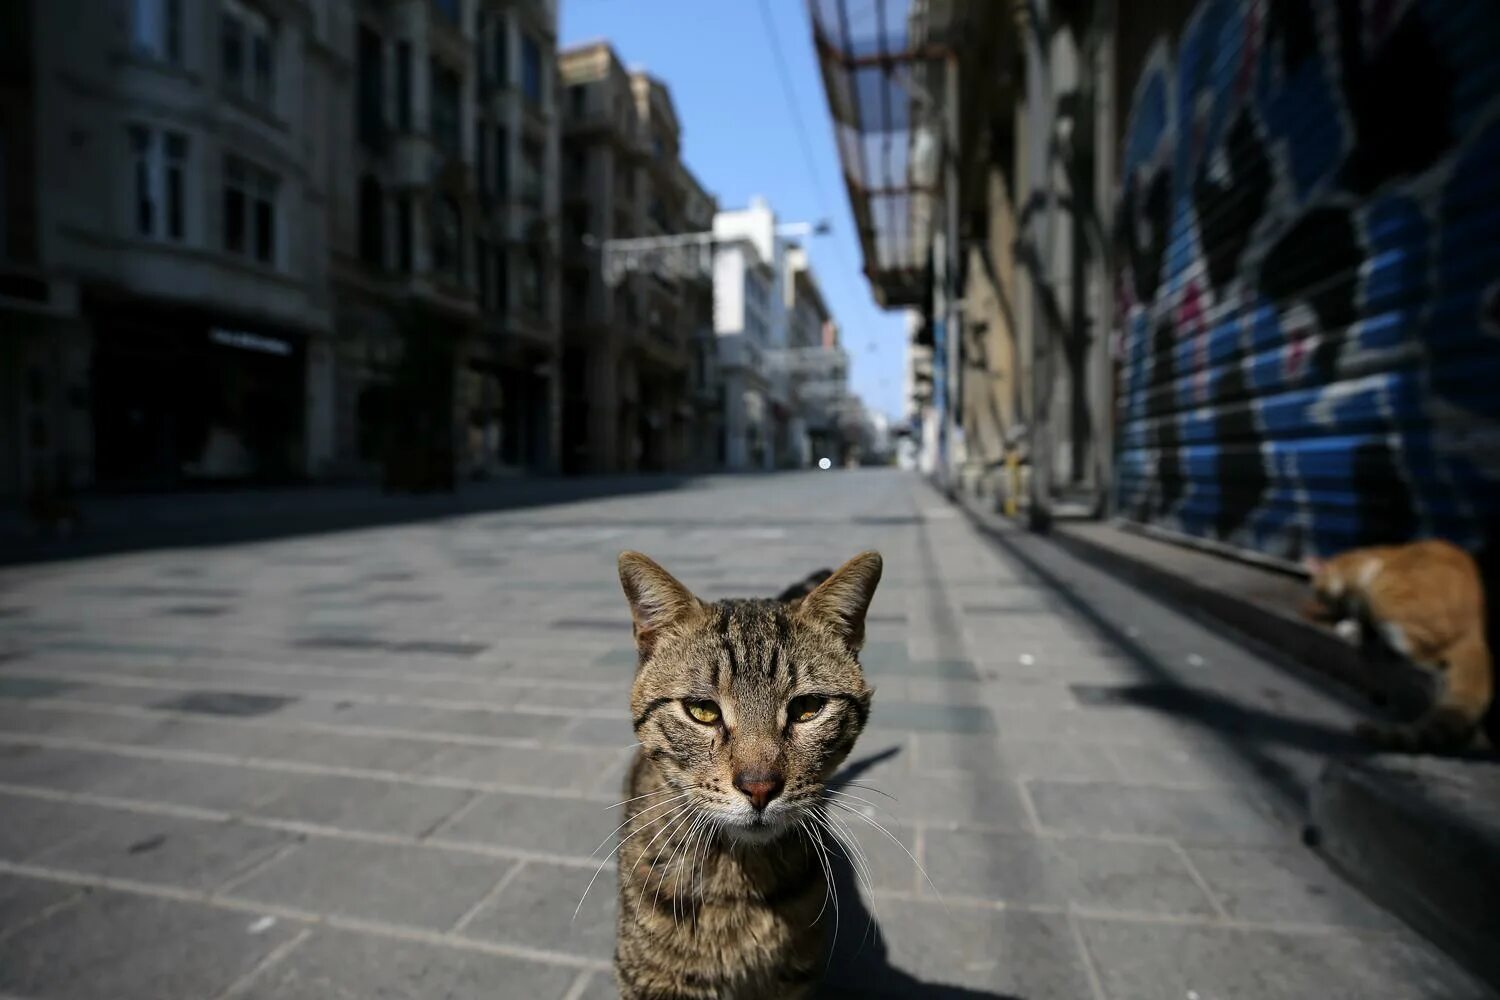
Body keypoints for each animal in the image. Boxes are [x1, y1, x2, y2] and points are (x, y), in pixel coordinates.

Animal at [1302, 539, 1488, 749]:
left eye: (1320, 593)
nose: (1328, 605)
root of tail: (1476, 624)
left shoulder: (1366, 575)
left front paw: (1351, 624)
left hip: (1388, 591)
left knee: (1411, 649)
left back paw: (1370, 640)